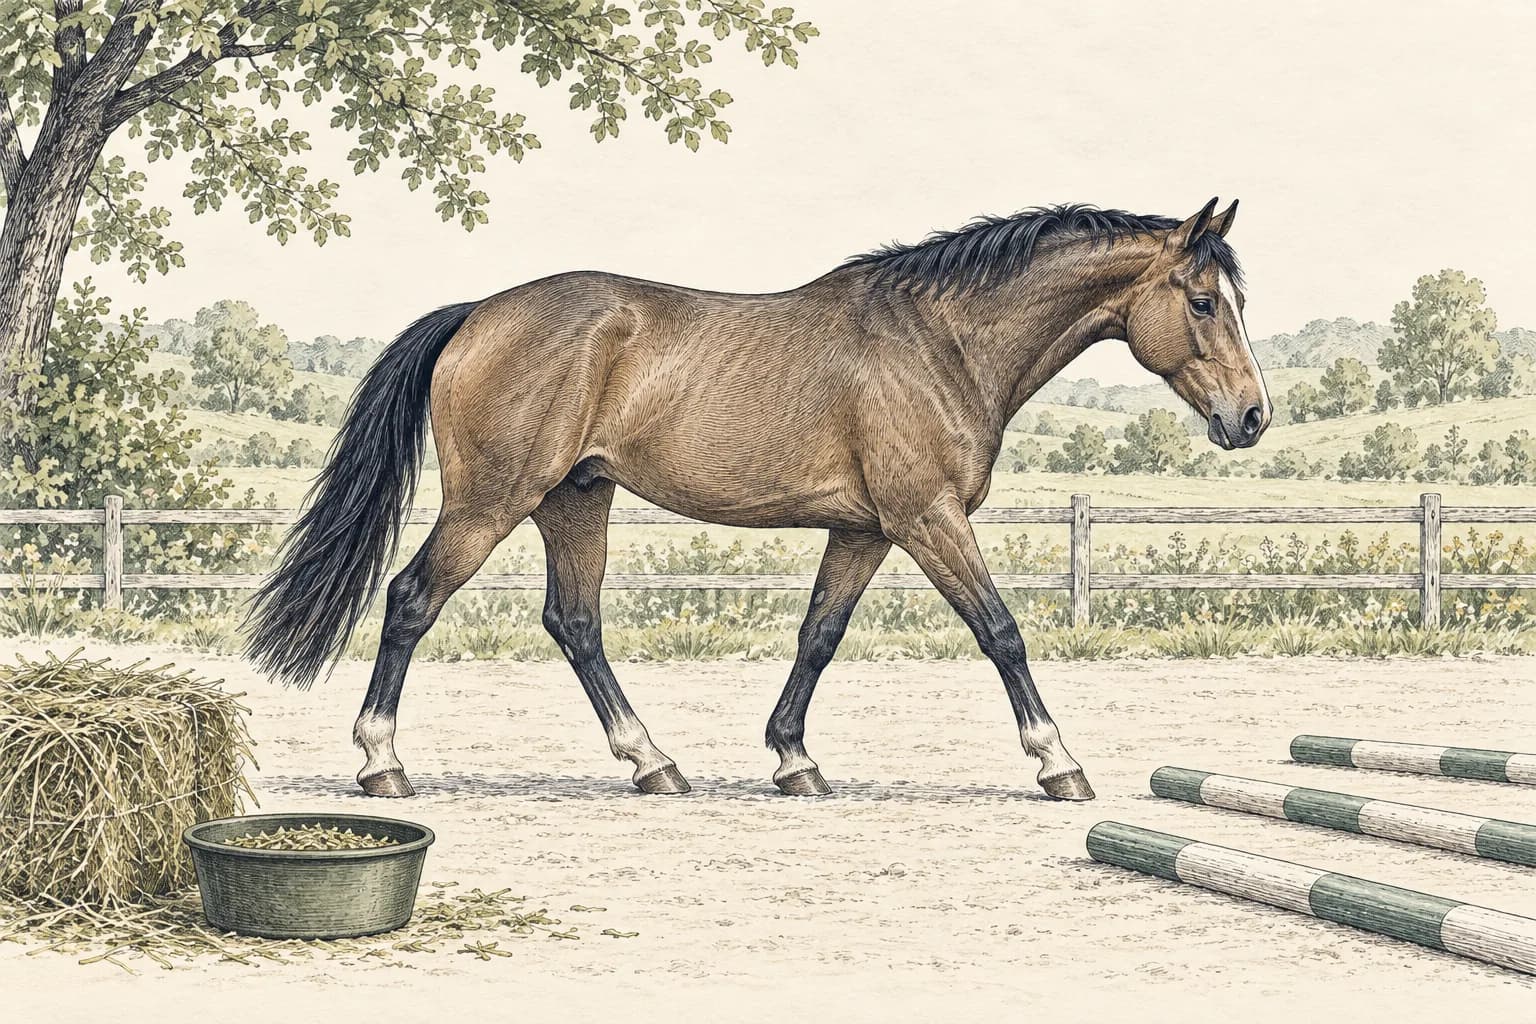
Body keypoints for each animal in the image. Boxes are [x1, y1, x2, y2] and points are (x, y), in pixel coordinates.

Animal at [244, 197, 1271, 803]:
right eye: (1204, 301)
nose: (1252, 417)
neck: (939, 341)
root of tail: (476, 314)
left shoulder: (864, 531)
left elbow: (819, 637)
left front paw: (794, 760)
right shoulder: (928, 518)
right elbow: (1002, 632)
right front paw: (1060, 764)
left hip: (575, 500)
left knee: (575, 623)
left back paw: (654, 764)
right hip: (493, 502)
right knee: (413, 600)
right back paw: (382, 764)